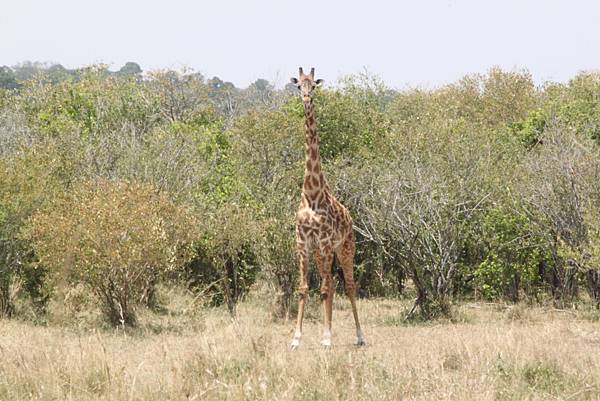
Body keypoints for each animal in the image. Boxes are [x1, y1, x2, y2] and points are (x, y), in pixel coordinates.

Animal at [290, 67, 366, 348]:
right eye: (298, 85)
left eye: (314, 85)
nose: (306, 98)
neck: (312, 193)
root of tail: (351, 216)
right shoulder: (303, 243)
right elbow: (304, 288)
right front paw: (297, 338)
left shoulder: (323, 242)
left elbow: (323, 289)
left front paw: (325, 338)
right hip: (325, 253)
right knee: (332, 283)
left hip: (345, 248)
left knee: (349, 285)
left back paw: (358, 336)